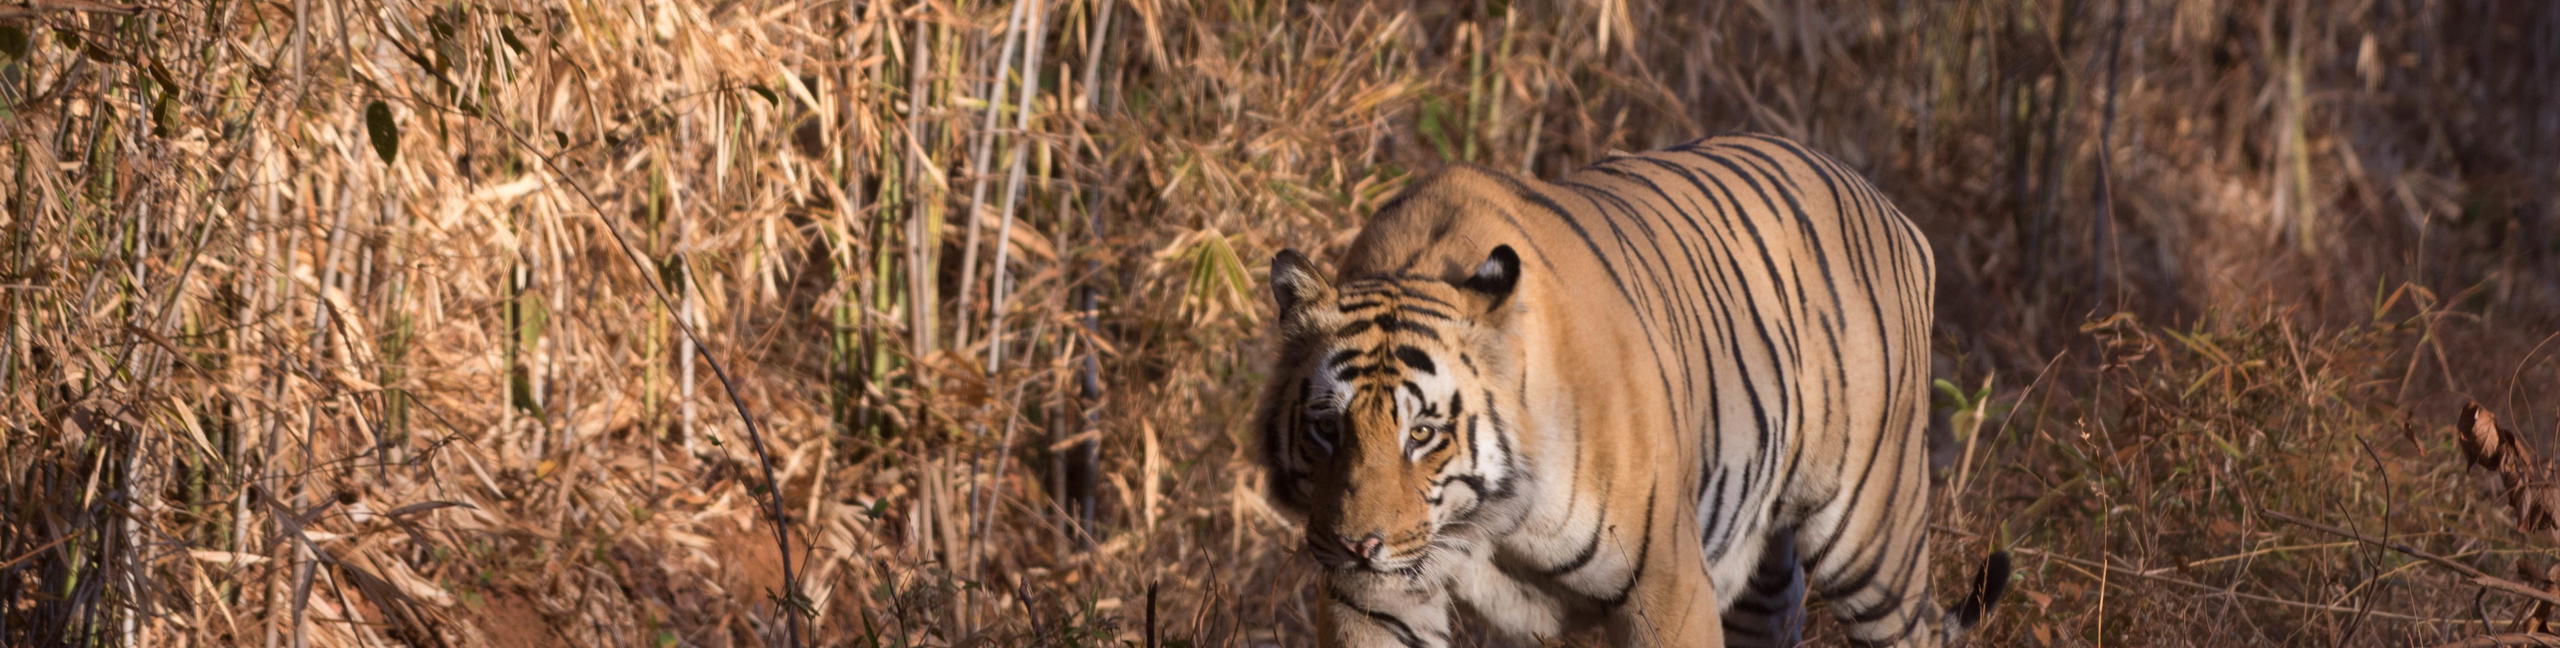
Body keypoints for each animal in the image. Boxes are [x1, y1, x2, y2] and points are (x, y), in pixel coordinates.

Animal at [1252, 133, 2011, 647]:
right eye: (1327, 428)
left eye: (1422, 434)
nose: (1358, 547)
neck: (1480, 520)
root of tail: (1885, 203)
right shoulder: (1374, 604)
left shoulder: (1667, 586)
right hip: (1764, 570)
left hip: (1872, 538)